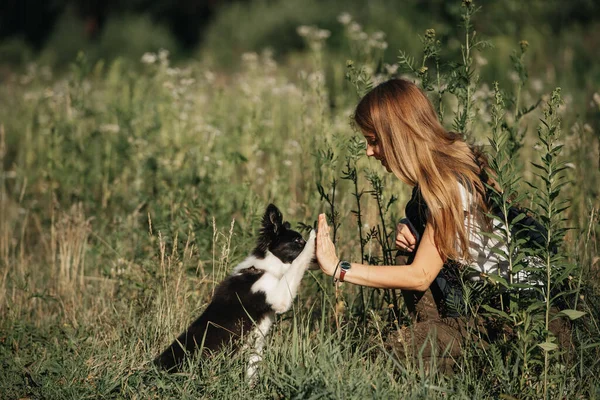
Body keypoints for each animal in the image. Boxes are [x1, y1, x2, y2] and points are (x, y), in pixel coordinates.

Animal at [155, 203, 316, 378]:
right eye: (297, 240)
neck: (265, 268)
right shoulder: (279, 297)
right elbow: (299, 262)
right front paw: (315, 237)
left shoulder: (254, 348)